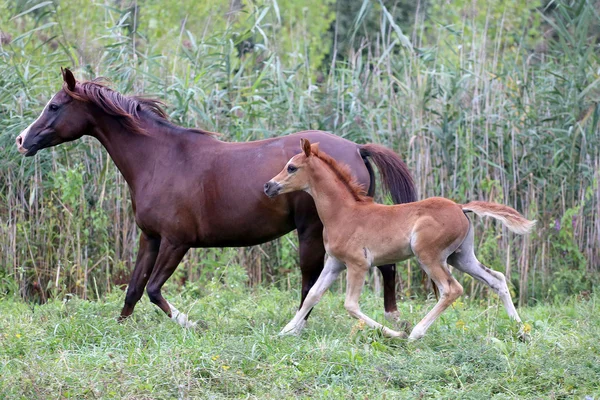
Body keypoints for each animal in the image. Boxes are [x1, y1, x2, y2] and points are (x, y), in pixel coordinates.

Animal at [15, 69, 418, 330]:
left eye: (54, 106)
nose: (21, 140)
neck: (159, 159)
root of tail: (357, 148)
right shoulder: (151, 237)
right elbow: (133, 290)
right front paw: (118, 330)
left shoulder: (177, 242)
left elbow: (154, 290)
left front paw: (193, 324)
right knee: (383, 268)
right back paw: (392, 318)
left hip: (312, 231)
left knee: (311, 281)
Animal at [264, 139, 536, 340]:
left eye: (291, 167)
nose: (268, 186)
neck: (344, 213)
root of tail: (461, 207)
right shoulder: (335, 263)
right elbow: (313, 295)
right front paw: (286, 330)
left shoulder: (358, 264)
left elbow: (351, 305)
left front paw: (395, 333)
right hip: (461, 257)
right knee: (497, 279)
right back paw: (521, 330)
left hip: (428, 255)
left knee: (451, 289)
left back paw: (415, 333)